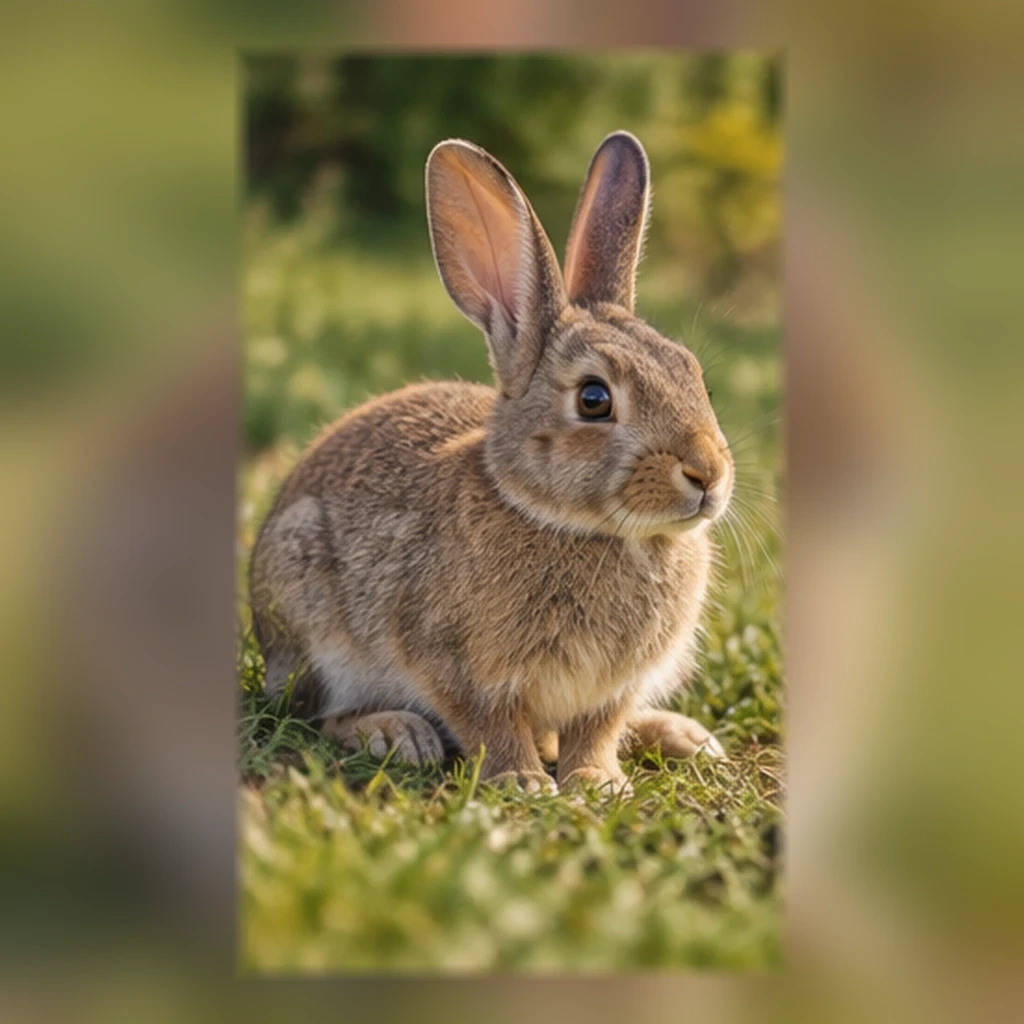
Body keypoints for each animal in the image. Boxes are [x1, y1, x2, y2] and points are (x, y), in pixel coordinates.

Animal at [249, 131, 733, 793]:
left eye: (696, 377)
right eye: (594, 399)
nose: (709, 474)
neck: (578, 526)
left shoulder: (611, 690)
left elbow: (595, 730)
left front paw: (597, 781)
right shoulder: (456, 666)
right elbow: (490, 723)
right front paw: (524, 782)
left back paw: (685, 736)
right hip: (311, 625)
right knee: (321, 713)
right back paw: (397, 733)